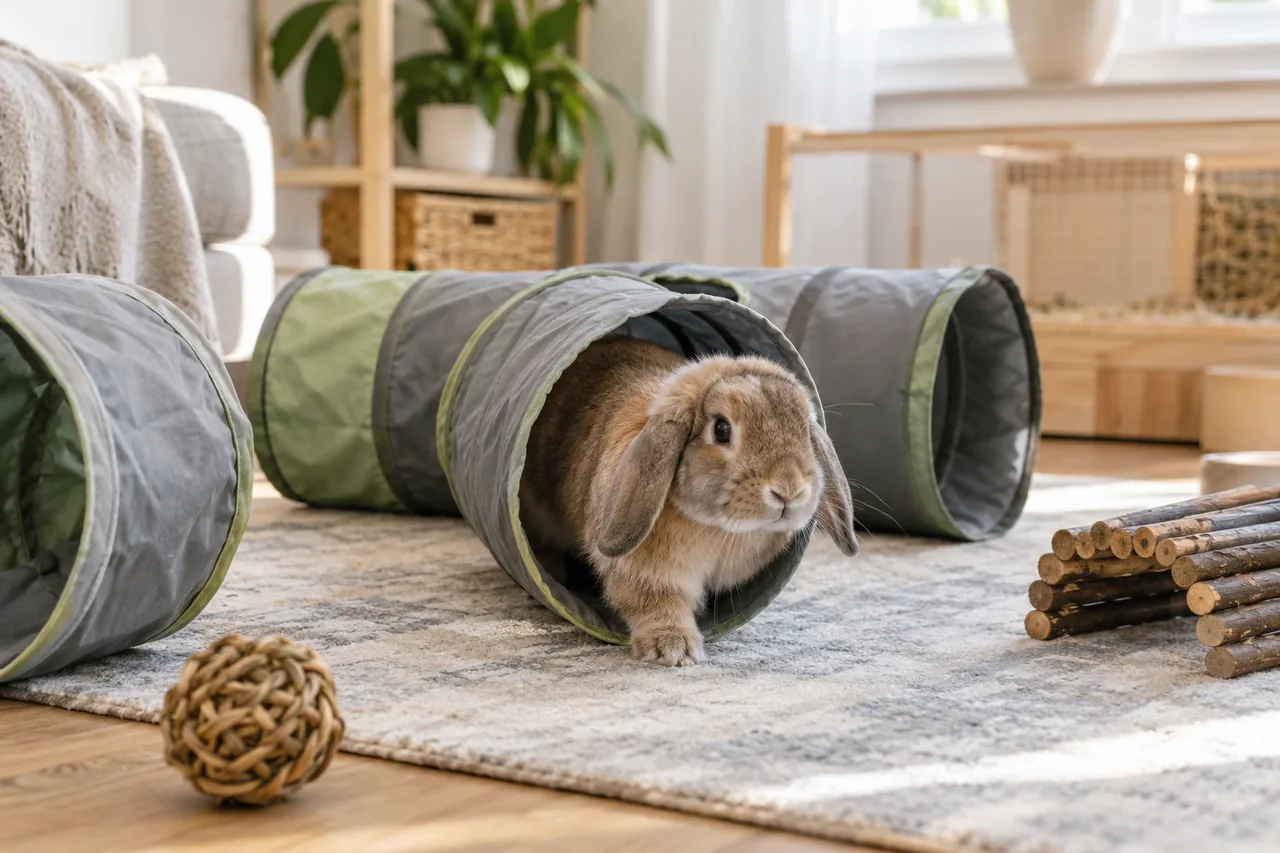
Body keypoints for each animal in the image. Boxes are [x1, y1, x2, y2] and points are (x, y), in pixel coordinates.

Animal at [519, 335, 858, 667]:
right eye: (721, 429)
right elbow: (654, 603)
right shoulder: (647, 575)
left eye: (803, 430)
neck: (716, 527)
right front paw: (673, 649)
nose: (789, 490)